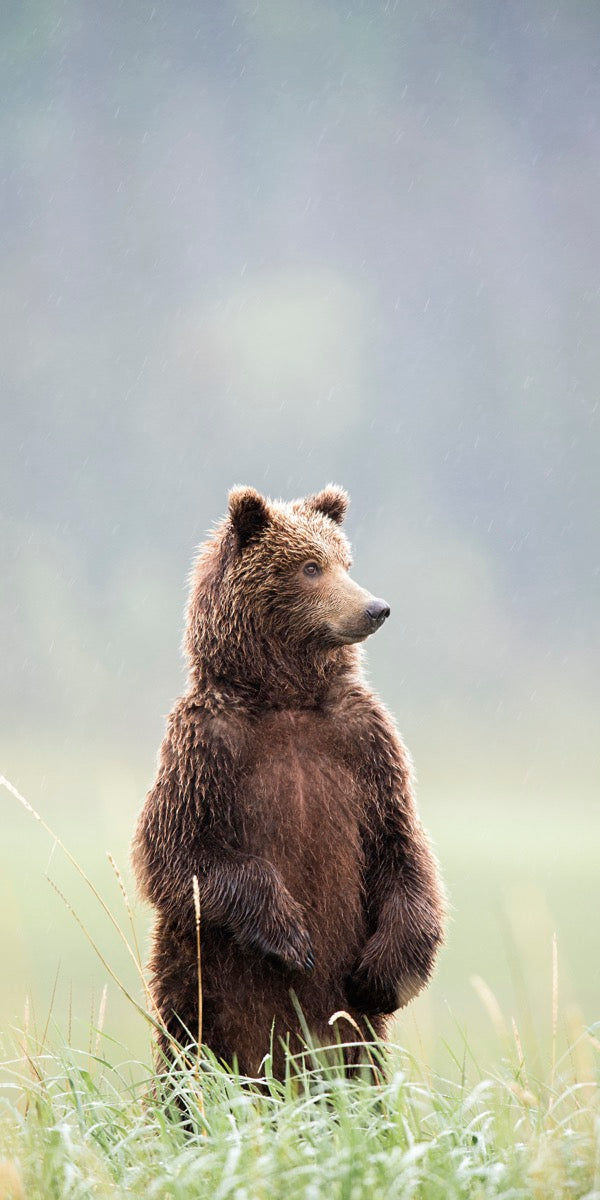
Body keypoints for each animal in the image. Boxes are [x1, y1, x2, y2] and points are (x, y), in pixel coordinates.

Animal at [131, 485, 445, 1078]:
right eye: (309, 566)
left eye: (345, 562)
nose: (376, 607)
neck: (287, 698)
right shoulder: (205, 746)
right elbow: (177, 853)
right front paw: (291, 936)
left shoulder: (367, 743)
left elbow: (402, 848)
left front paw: (381, 974)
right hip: (197, 989)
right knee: (187, 1057)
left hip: (356, 1039)